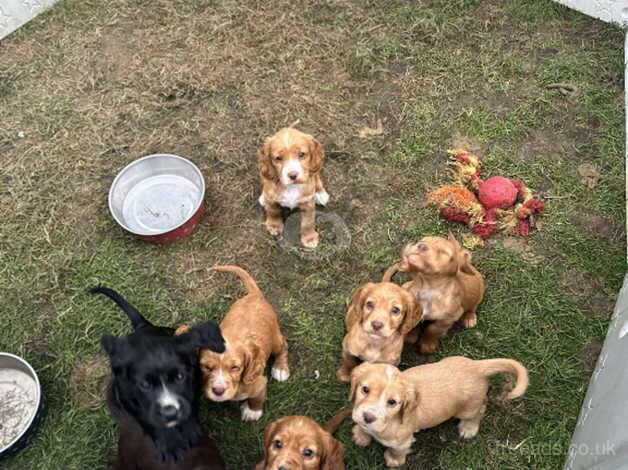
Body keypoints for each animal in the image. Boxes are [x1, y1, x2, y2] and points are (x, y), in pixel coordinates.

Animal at [94, 284, 228, 468]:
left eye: (180, 377)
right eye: (145, 385)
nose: (170, 413)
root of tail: (142, 326)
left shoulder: (194, 380)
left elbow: (191, 404)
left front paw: (190, 430)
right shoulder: (127, 398)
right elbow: (148, 420)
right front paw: (170, 445)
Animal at [173, 264, 288, 422]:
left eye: (235, 368)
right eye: (206, 367)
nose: (218, 390)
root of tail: (255, 295)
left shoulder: (258, 382)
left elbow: (258, 397)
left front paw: (253, 411)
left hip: (275, 339)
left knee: (283, 346)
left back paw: (281, 369)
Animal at [350, 358, 528, 464]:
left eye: (392, 402)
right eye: (365, 389)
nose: (368, 417)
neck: (391, 421)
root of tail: (477, 366)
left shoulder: (402, 442)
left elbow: (397, 450)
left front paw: (394, 460)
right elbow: (364, 429)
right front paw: (361, 435)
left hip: (468, 409)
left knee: (480, 409)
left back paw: (469, 428)